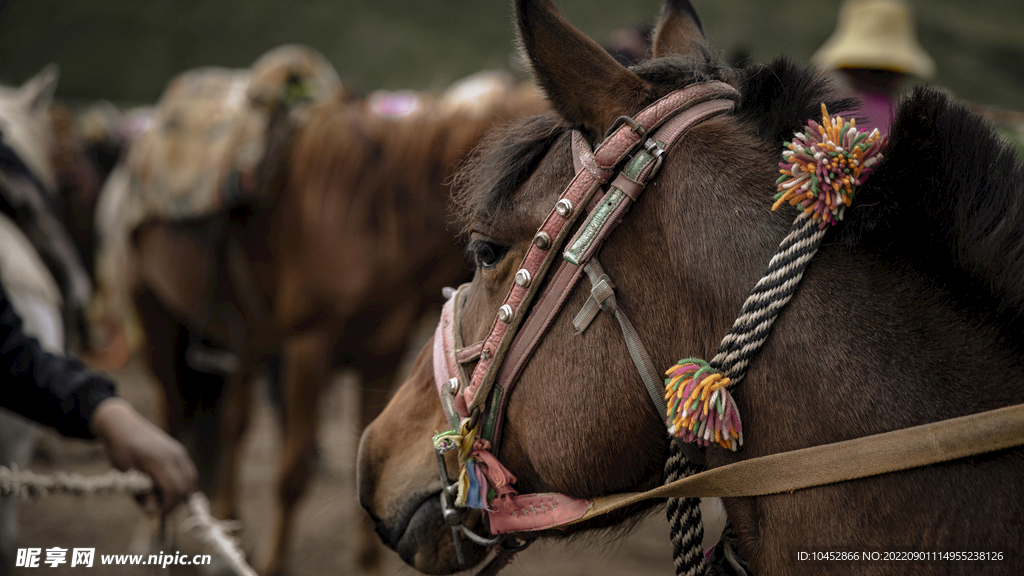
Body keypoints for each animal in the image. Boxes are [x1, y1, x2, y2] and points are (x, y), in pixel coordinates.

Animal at [131, 75, 548, 569]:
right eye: (486, 250)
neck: (377, 215)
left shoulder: (382, 352)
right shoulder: (308, 346)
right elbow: (292, 473)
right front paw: (272, 564)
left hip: (248, 339)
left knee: (233, 424)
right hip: (156, 319)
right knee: (171, 425)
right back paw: (158, 540)